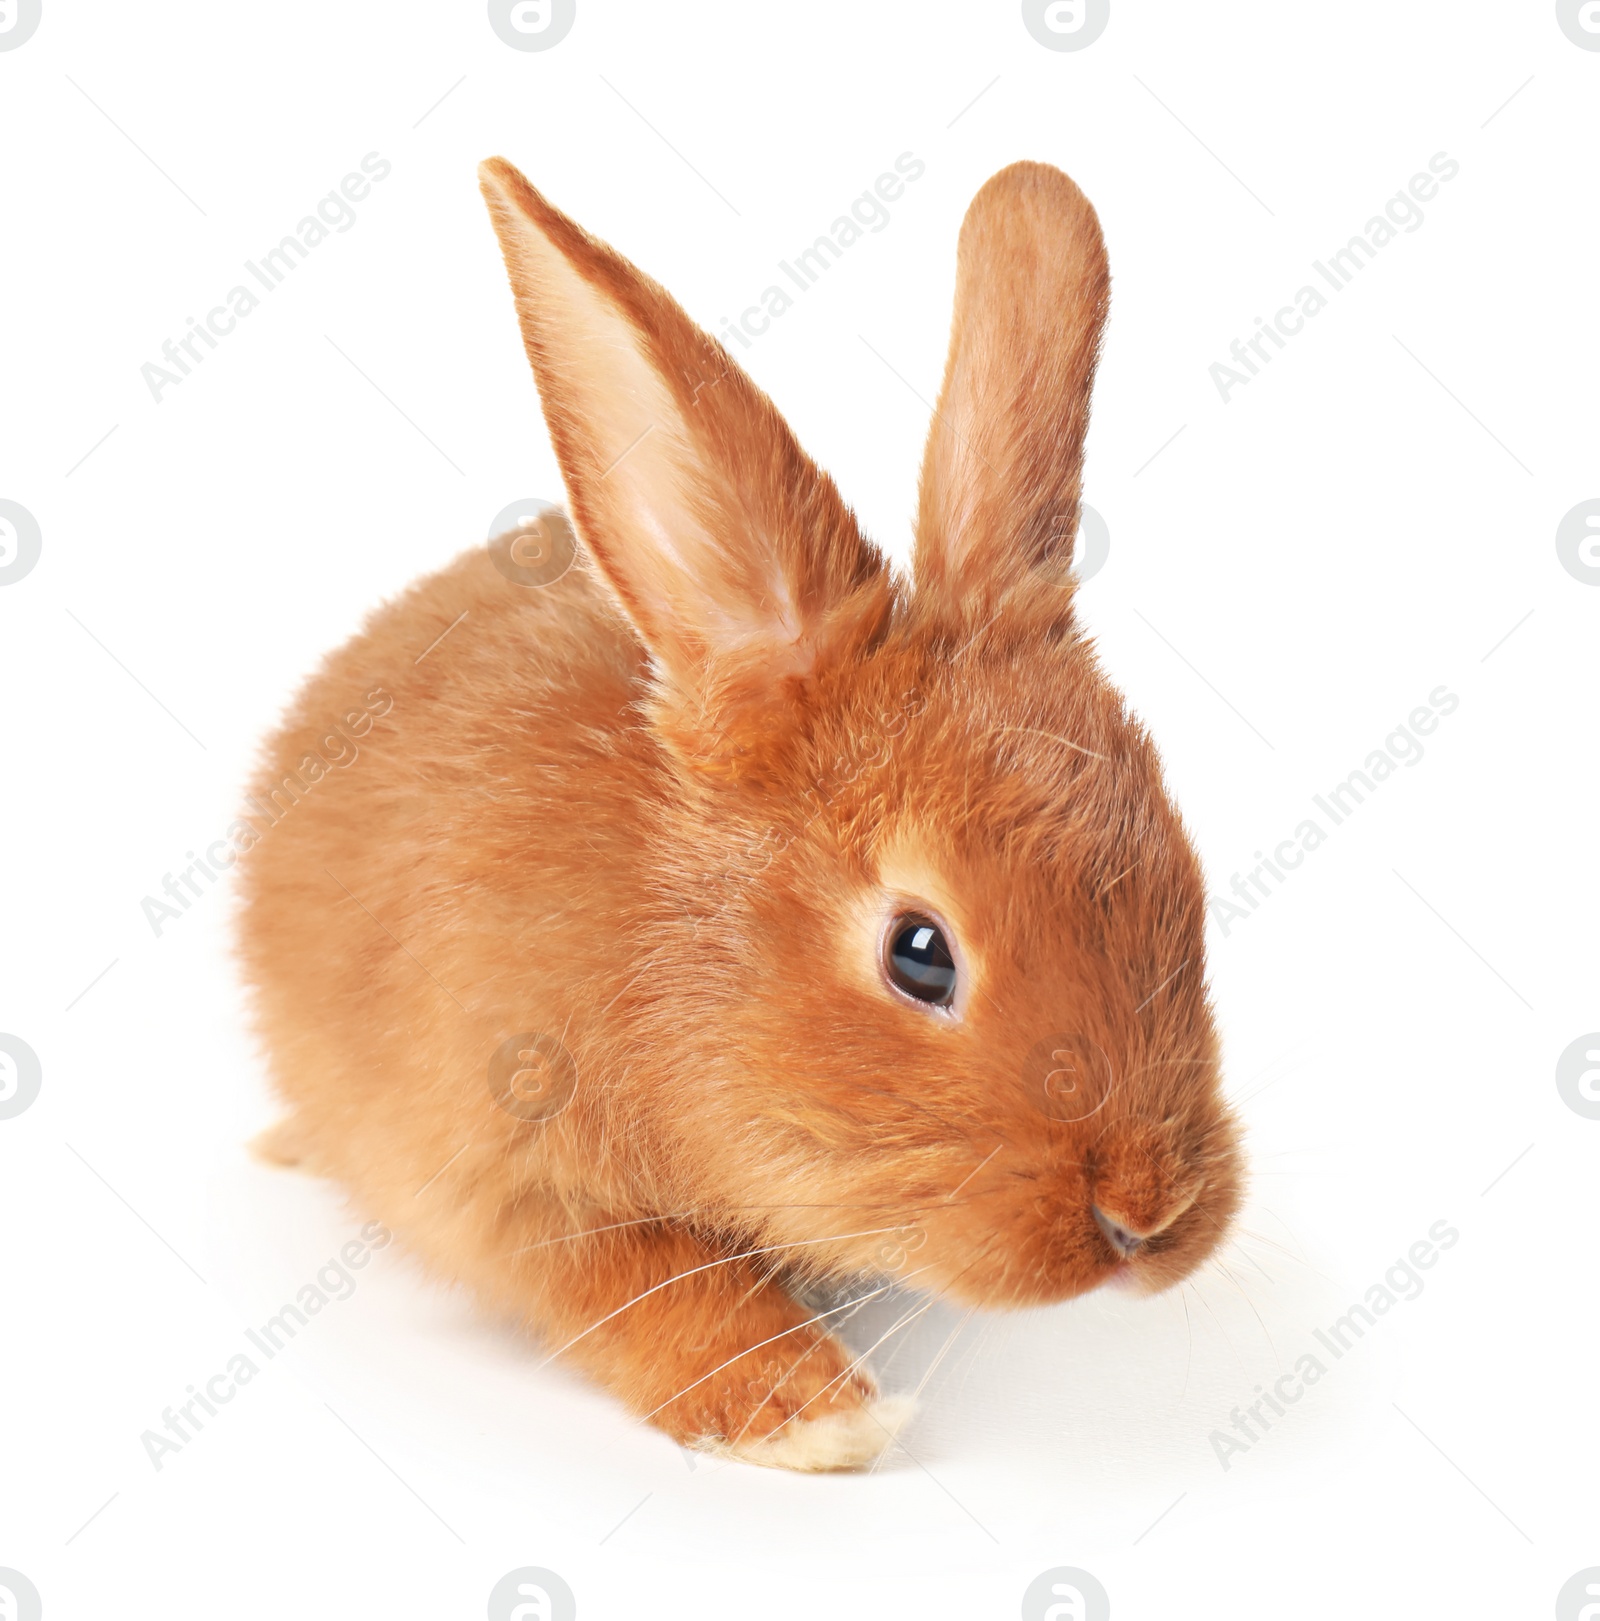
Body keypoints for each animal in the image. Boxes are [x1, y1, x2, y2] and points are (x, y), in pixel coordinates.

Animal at [235, 158, 1238, 1478]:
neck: (663, 951)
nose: (1148, 1214)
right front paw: (812, 1412)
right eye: (921, 954)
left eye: (1187, 889)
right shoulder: (515, 1172)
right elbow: (653, 1288)